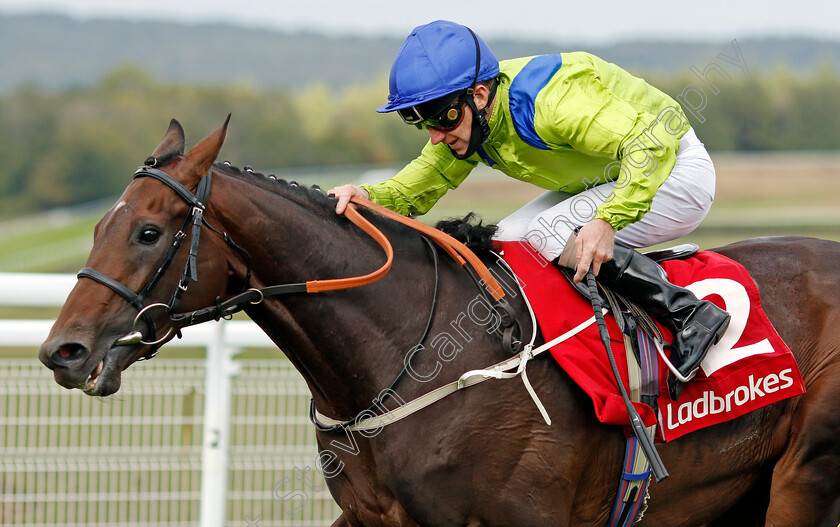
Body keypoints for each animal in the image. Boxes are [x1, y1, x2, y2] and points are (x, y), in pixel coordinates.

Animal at [37, 119, 840, 527]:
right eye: (101, 224)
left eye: (148, 232)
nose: (62, 351)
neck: (412, 357)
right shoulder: (375, 520)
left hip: (804, 472)